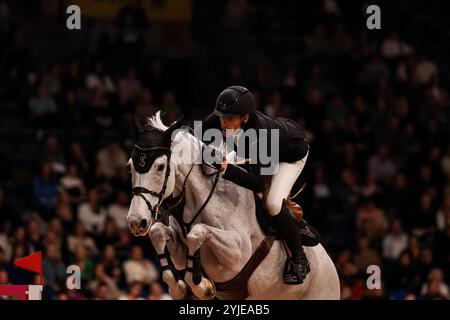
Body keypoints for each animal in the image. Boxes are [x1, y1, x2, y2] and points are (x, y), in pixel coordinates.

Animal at [125, 112, 340, 300]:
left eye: (161, 167)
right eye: (130, 166)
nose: (136, 222)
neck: (199, 198)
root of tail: (333, 269)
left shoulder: (238, 253)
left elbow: (198, 231)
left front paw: (202, 287)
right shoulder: (178, 251)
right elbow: (158, 232)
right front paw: (181, 288)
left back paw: (298, 268)